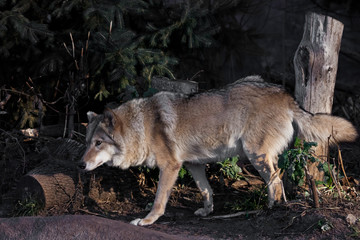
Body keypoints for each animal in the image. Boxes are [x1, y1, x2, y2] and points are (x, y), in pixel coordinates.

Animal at [79, 76, 358, 226]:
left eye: (99, 143)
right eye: (87, 142)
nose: (81, 165)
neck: (142, 126)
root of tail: (286, 95)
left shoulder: (170, 167)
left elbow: (158, 200)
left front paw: (147, 221)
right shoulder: (193, 165)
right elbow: (206, 190)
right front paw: (208, 211)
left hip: (256, 155)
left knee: (275, 181)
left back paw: (271, 209)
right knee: (278, 180)